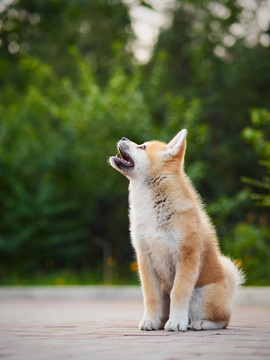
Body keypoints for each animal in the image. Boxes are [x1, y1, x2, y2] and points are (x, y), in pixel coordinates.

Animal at [109, 129, 245, 332]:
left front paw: (176, 322)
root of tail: (229, 288)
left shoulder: (187, 256)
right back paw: (160, 321)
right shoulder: (145, 259)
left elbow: (179, 293)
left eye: (143, 147)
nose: (124, 137)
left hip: (201, 295)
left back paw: (200, 323)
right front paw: (149, 320)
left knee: (223, 319)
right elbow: (150, 296)